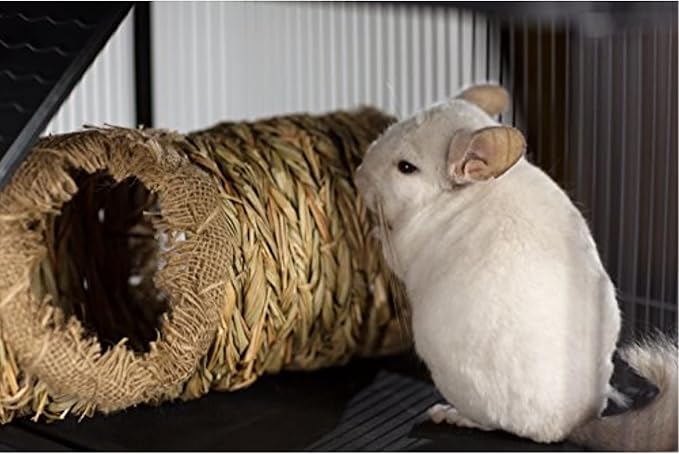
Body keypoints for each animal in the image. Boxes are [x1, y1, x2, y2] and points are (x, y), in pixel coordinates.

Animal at [354, 83, 677, 451]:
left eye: (406, 167)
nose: (358, 175)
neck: (465, 191)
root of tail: (577, 422)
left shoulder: (406, 243)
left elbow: (390, 247)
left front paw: (374, 230)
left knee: (491, 423)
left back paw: (449, 413)